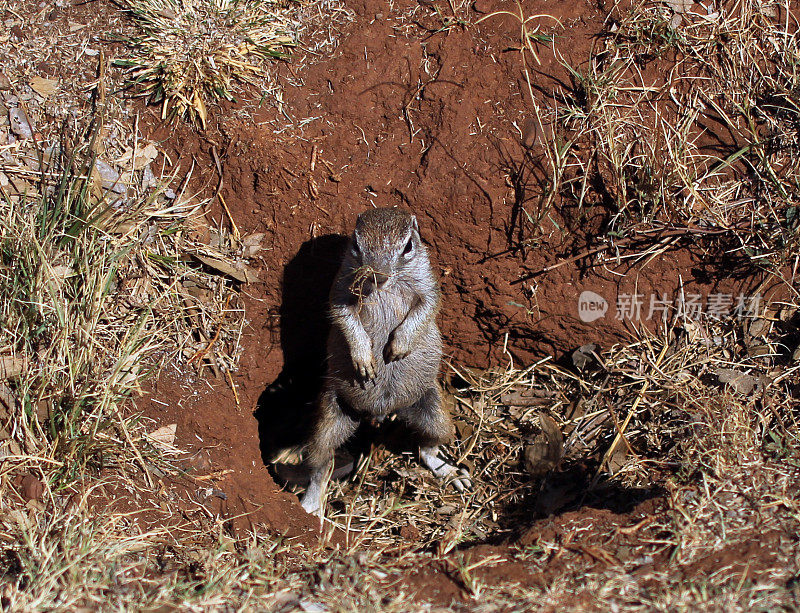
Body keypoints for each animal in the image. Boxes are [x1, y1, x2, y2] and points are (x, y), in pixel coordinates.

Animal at [304, 208, 472, 512]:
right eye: (356, 246)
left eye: (408, 247)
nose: (378, 276)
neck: (385, 288)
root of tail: (383, 412)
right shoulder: (340, 288)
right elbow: (344, 317)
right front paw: (364, 359)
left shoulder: (428, 285)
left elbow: (426, 308)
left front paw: (398, 347)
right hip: (329, 419)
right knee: (320, 465)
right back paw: (310, 504)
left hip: (435, 414)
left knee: (428, 449)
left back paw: (450, 472)